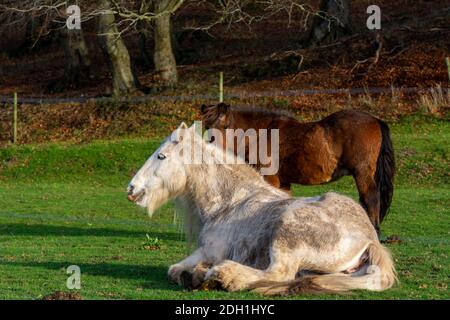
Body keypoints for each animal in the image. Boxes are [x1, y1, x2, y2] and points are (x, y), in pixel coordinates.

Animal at [127, 122, 398, 296]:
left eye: (161, 156)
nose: (131, 188)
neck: (229, 202)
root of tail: (370, 238)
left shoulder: (212, 251)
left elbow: (176, 269)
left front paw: (202, 274)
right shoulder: (203, 251)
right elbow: (175, 269)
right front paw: (193, 274)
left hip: (286, 234)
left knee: (279, 273)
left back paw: (226, 276)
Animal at [200, 104, 394, 234]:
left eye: (225, 126)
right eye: (208, 127)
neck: (263, 134)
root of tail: (375, 120)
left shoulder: (270, 179)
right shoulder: (283, 182)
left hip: (362, 174)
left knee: (370, 199)